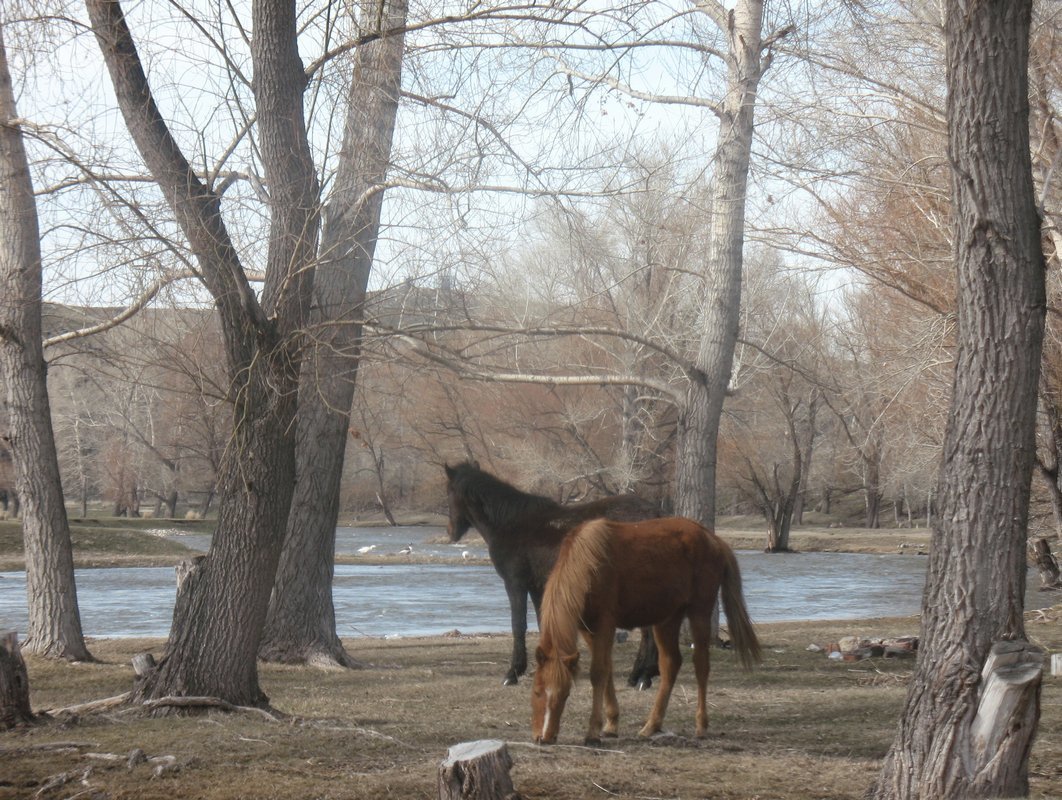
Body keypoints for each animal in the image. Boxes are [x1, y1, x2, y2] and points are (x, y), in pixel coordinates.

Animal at [439, 461, 654, 688]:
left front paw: (513, 672)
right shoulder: (537, 587)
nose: (450, 532)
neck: (510, 524)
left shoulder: (515, 584)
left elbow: (518, 625)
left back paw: (643, 677)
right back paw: (638, 675)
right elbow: (543, 624)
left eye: (449, 492)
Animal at [535, 514, 760, 747]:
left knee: (701, 665)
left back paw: (701, 725)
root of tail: (714, 539)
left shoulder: (605, 624)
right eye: (537, 691)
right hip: (667, 620)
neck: (588, 562)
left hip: (700, 612)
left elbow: (598, 672)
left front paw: (593, 733)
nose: (545, 737)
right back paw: (652, 725)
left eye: (566, 694)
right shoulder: (588, 629)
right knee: (671, 664)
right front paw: (612, 724)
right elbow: (608, 670)